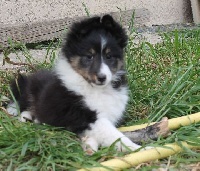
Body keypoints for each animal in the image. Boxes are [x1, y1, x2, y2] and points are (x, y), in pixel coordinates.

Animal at [6, 15, 141, 152]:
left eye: (109, 56)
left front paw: (89, 147)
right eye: (89, 56)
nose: (102, 77)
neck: (96, 88)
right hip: (28, 86)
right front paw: (138, 149)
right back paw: (19, 113)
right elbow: (115, 136)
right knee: (21, 101)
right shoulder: (87, 117)